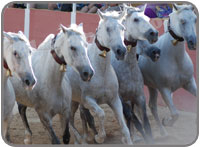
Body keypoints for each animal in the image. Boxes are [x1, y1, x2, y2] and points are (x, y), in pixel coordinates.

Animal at [67, 9, 133, 144]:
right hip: (71, 102)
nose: (121, 51)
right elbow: (101, 114)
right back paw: (80, 139)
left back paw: (83, 137)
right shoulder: (88, 100)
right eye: (108, 28)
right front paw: (99, 137)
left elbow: (124, 128)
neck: (101, 71)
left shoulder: (114, 100)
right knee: (69, 120)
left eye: (123, 28)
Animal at [138, 3, 196, 136]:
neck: (175, 59)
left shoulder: (189, 83)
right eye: (182, 21)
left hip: (151, 87)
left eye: (195, 19)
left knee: (152, 106)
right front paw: (167, 121)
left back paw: (163, 132)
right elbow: (175, 113)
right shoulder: (164, 89)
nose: (193, 42)